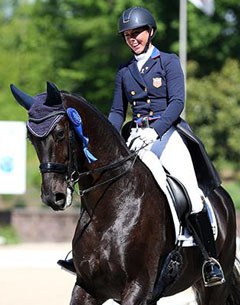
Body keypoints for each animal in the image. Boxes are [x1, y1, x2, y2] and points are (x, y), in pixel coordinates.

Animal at [10, 81, 240, 304]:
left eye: (59, 133)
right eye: (31, 138)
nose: (53, 196)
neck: (109, 206)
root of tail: (223, 198)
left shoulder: (138, 286)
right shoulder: (88, 287)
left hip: (214, 288)